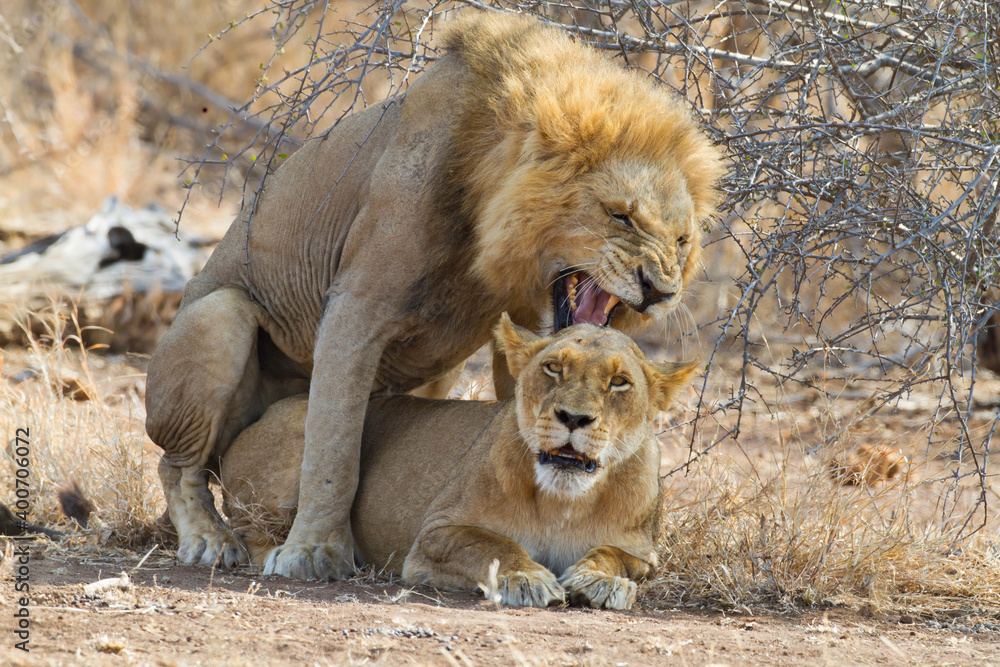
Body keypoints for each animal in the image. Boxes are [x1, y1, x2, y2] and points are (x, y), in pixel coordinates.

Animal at [220, 316, 697, 608]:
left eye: (619, 382)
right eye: (553, 368)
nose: (574, 417)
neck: (564, 502)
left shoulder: (643, 552)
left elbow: (613, 555)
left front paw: (601, 581)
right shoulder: (435, 534)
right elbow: (493, 545)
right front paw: (526, 579)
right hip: (305, 428)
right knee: (248, 528)